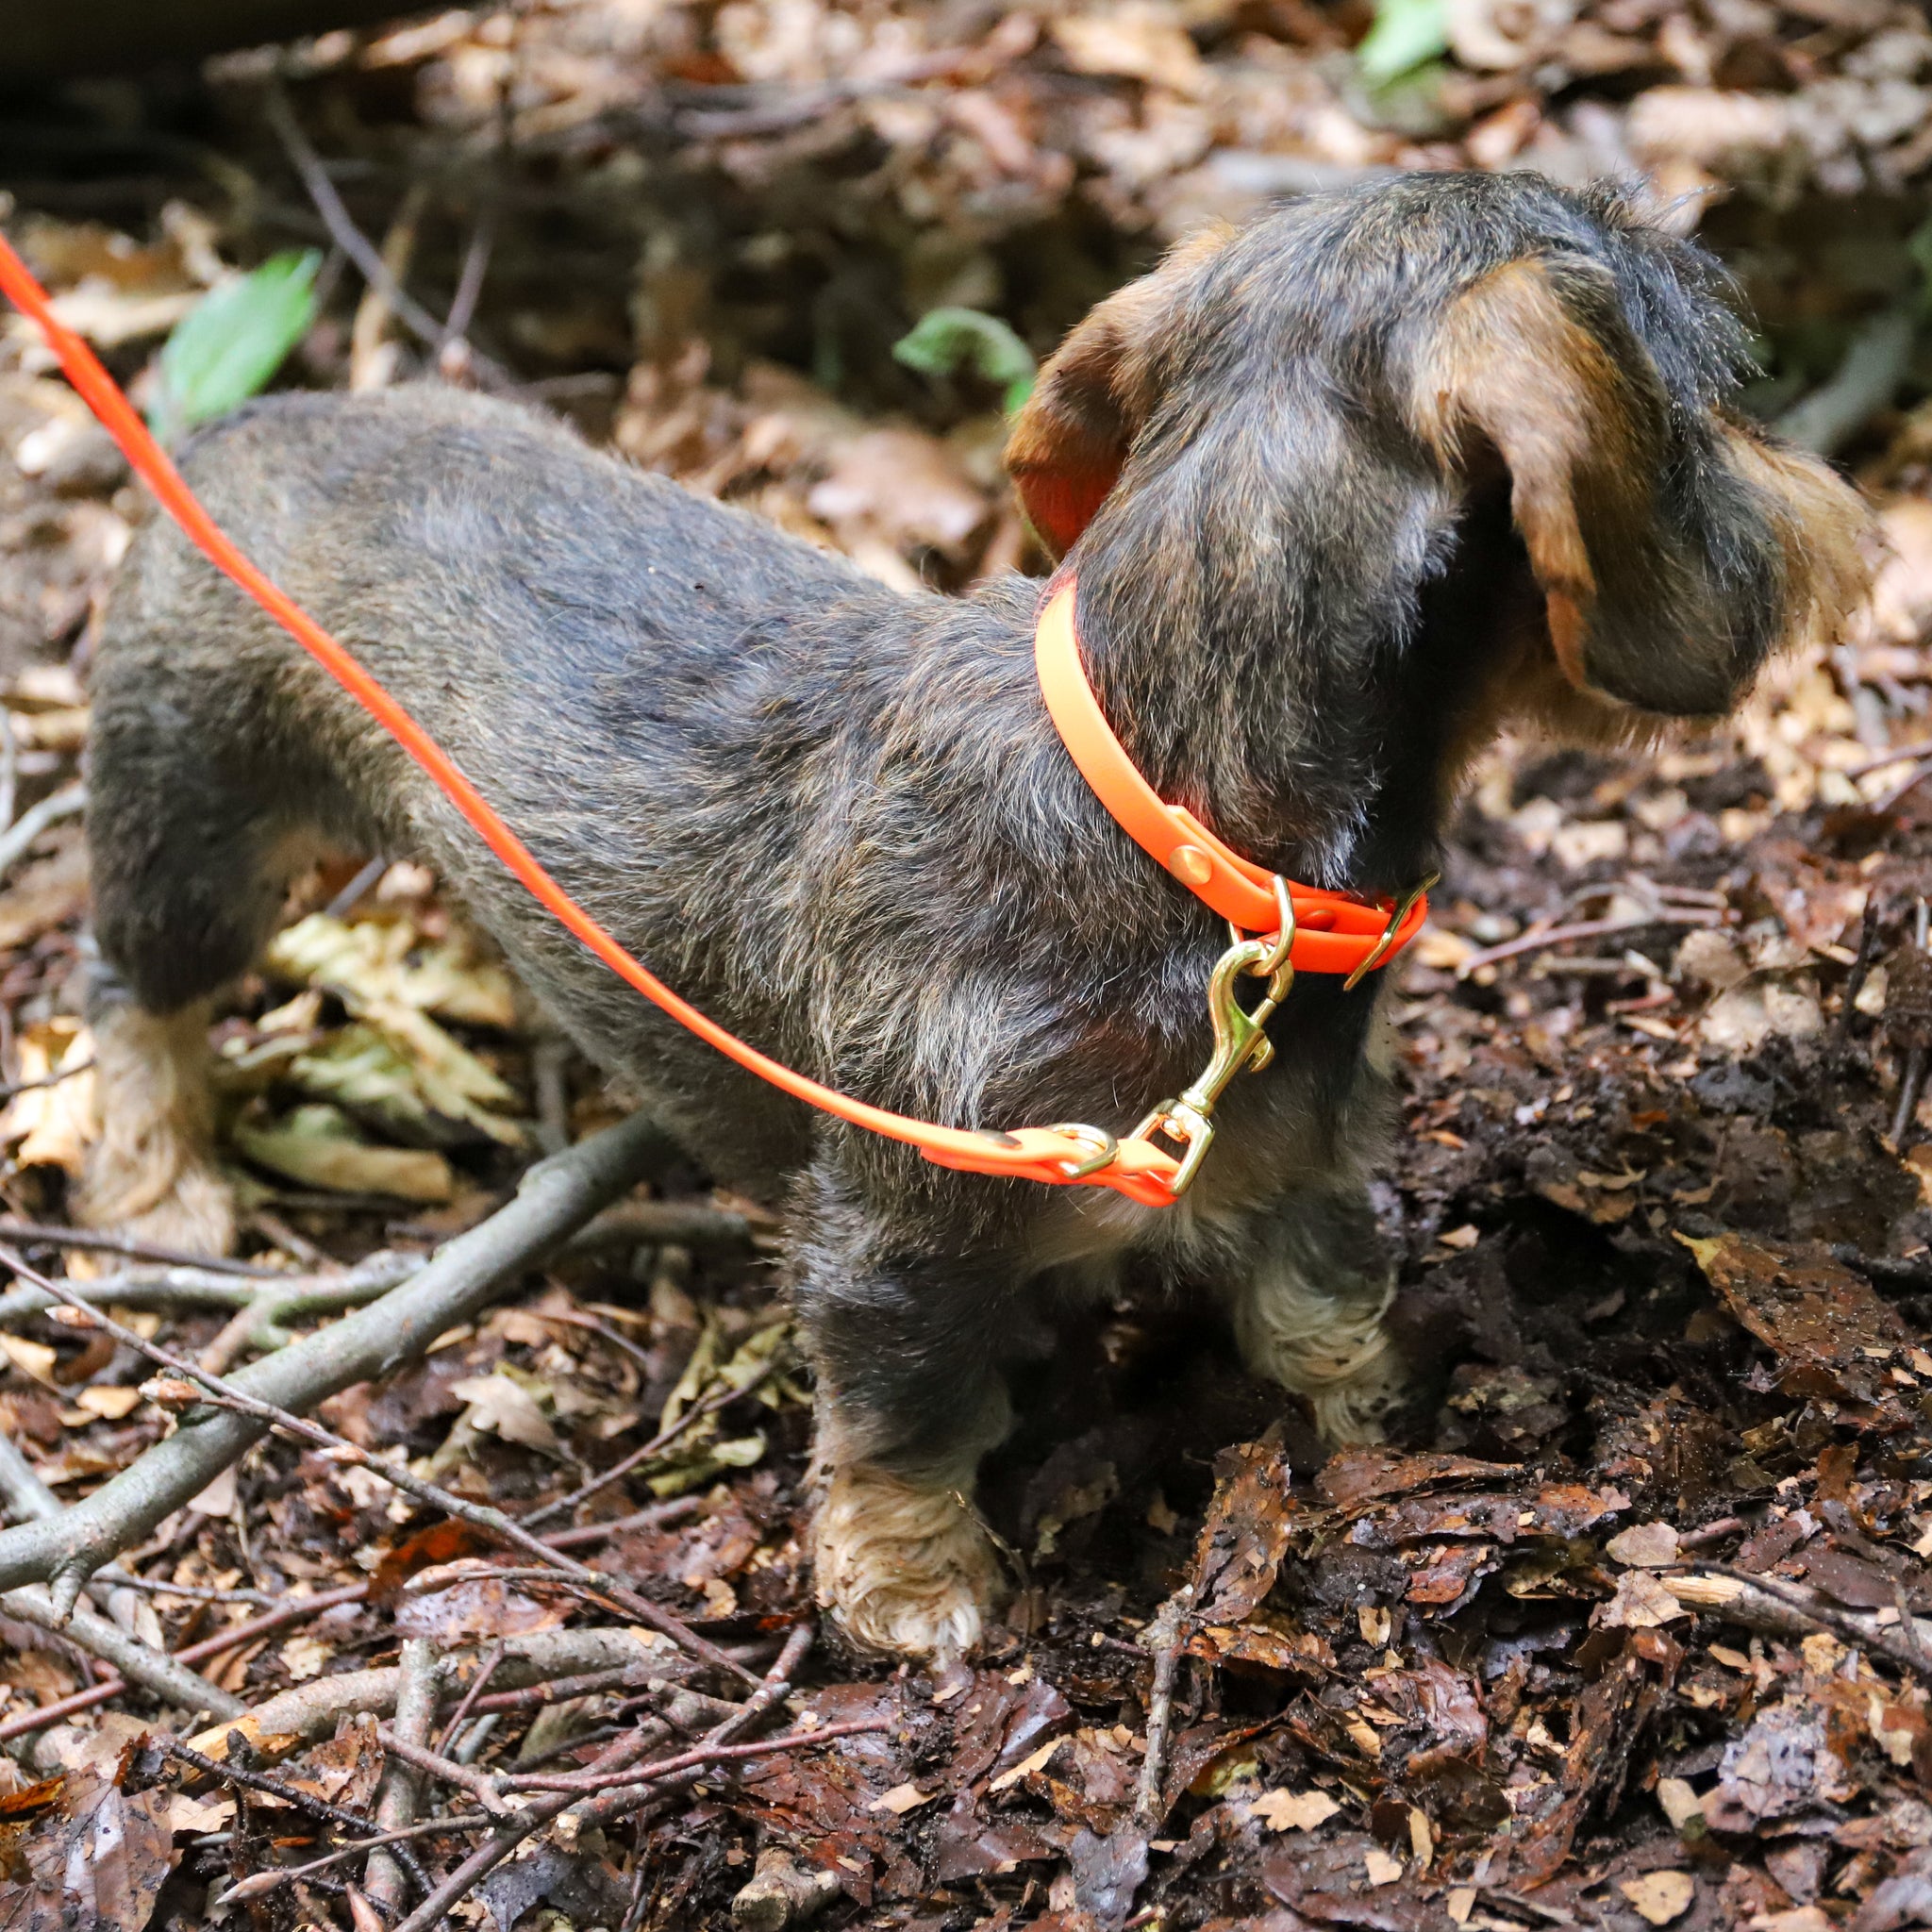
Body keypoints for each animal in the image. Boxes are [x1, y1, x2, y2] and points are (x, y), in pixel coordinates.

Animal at [78, 174, 1870, 1661]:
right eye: (1720, 389)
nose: (1842, 523)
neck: (1182, 820)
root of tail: (239, 419)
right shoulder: (896, 1240)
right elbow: (906, 1419)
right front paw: (910, 1583)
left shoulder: (1301, 1150)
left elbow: (1315, 1302)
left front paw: (1381, 1423)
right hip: (192, 820)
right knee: (129, 989)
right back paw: (157, 1181)